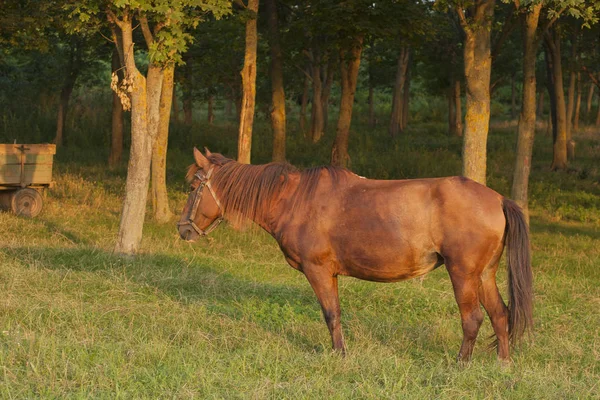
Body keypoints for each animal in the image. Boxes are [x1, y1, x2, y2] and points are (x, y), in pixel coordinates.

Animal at [176, 148, 532, 362]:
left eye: (193, 187)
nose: (183, 229)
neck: (294, 199)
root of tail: (498, 199)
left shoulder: (318, 271)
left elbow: (331, 314)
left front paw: (339, 355)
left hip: (463, 274)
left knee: (473, 319)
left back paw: (460, 363)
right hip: (484, 274)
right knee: (500, 315)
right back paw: (502, 363)